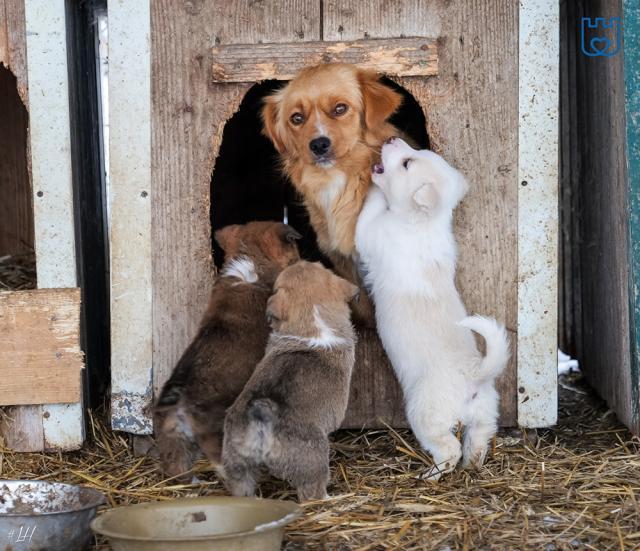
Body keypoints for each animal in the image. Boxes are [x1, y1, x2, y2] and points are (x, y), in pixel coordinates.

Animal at [221, 260, 360, 502]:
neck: (313, 324)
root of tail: (260, 412)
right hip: (314, 459)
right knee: (312, 493)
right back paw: (330, 500)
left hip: (238, 466)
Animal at [260, 64, 400, 324]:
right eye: (297, 118)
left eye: (340, 109)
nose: (318, 145)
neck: (337, 179)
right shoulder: (341, 258)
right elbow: (361, 304)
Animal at [356, 138, 510, 478]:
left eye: (407, 163)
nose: (391, 139)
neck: (424, 222)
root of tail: (474, 374)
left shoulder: (371, 231)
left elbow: (370, 209)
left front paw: (373, 187)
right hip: (484, 418)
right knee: (476, 444)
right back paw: (473, 466)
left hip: (424, 415)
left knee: (448, 449)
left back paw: (432, 475)